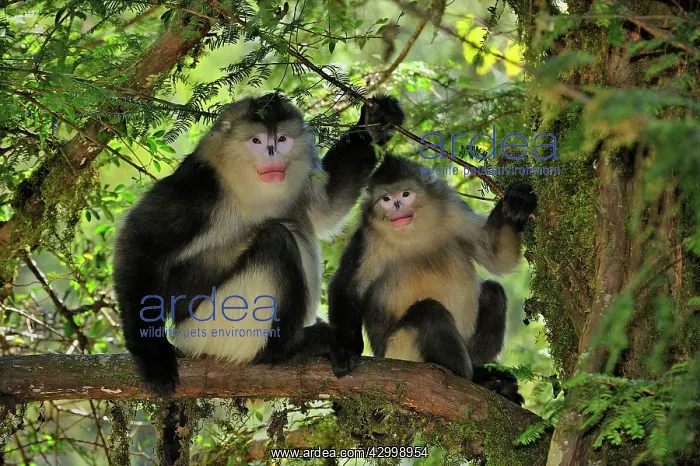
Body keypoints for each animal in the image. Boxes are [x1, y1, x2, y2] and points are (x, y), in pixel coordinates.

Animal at [112, 93, 405, 399]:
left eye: (282, 139)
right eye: (257, 141)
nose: (272, 153)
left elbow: (328, 205)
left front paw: (375, 123)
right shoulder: (200, 186)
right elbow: (140, 243)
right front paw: (154, 358)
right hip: (213, 326)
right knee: (277, 238)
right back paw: (285, 349)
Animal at [328, 155, 536, 405]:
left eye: (405, 194)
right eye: (386, 199)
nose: (397, 206)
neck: (414, 236)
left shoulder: (454, 211)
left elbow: (495, 255)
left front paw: (517, 201)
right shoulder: (367, 239)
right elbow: (347, 287)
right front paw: (344, 351)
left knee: (492, 292)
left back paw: (485, 375)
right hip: (399, 351)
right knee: (429, 312)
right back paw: (473, 378)